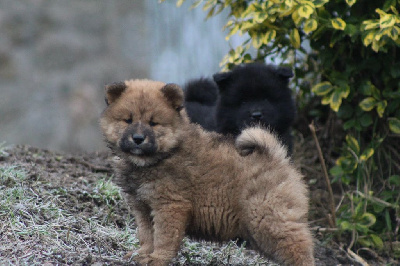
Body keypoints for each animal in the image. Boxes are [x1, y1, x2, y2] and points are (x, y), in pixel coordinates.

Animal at [98, 79, 314, 266]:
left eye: (153, 123)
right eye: (128, 120)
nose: (138, 138)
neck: (160, 157)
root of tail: (277, 157)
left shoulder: (169, 205)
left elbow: (163, 237)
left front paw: (157, 258)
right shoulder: (141, 206)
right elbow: (146, 234)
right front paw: (142, 254)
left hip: (267, 218)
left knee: (298, 248)